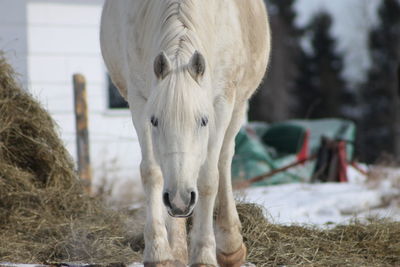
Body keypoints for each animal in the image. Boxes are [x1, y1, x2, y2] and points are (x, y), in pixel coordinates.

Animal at [100, 1, 270, 266]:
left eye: (203, 121)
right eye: (155, 121)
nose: (180, 199)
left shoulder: (222, 102)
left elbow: (209, 179)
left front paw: (204, 255)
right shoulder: (139, 101)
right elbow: (152, 173)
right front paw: (159, 252)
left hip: (239, 107)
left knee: (224, 160)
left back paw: (230, 246)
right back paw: (178, 251)